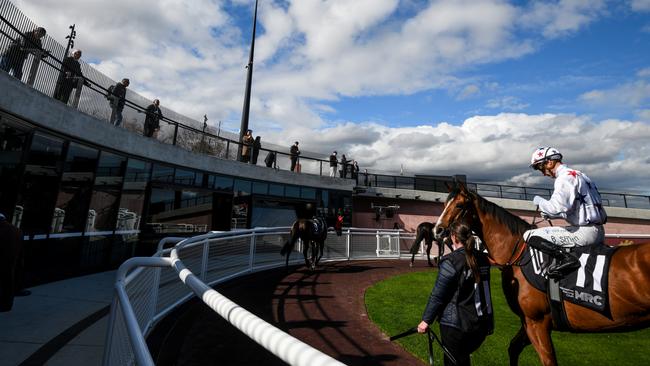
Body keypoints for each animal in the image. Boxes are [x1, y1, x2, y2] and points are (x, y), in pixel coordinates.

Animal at [430, 182, 650, 364]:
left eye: (459, 206)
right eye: (444, 204)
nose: (437, 230)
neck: (517, 252)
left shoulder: (537, 321)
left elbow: (547, 359)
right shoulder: (528, 321)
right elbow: (513, 348)